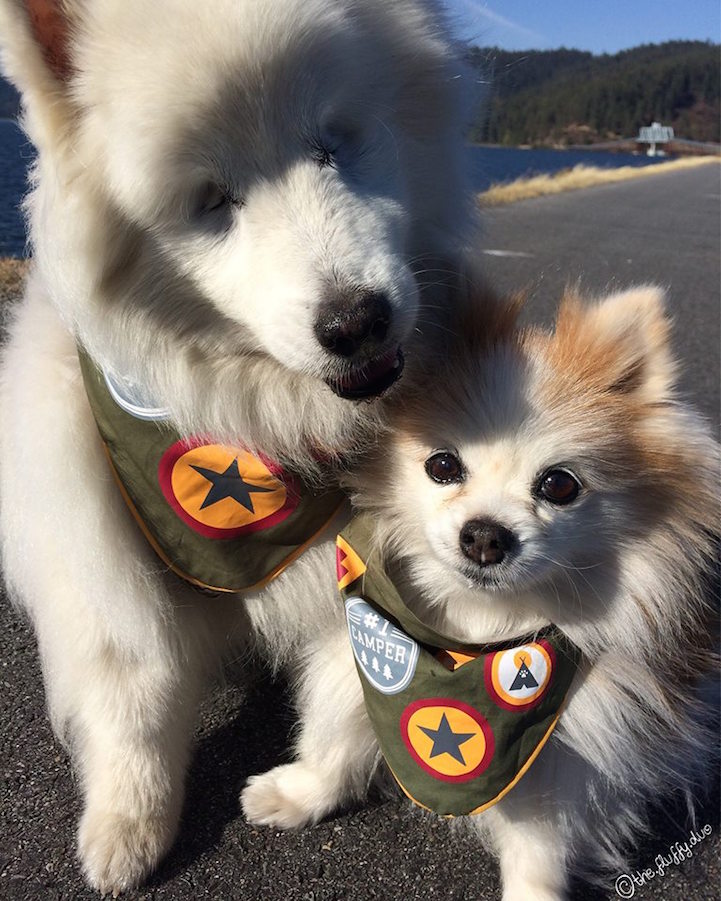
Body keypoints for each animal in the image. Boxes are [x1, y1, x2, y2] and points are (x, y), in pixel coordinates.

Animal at [0, 0, 478, 884]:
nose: (355, 322)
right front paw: (128, 826)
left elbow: (346, 698)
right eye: (212, 199)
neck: (259, 424)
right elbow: (133, 690)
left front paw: (301, 792)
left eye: (330, 144)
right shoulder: (96, 554)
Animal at [243, 284, 720, 900]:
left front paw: (532, 894)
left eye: (559, 484)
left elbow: (539, 843)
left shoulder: (555, 749)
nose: (485, 536)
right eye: (442, 465)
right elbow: (336, 735)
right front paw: (302, 794)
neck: (478, 633)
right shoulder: (365, 648)